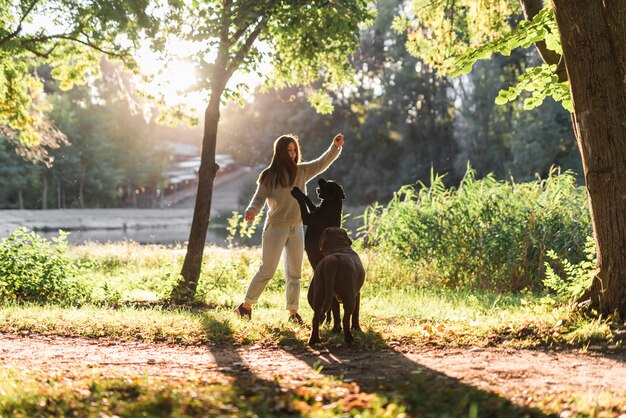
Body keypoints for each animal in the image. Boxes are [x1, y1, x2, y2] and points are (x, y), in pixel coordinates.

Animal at [290, 176, 344, 330]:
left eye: (329, 184)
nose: (320, 178)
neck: (330, 205)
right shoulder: (314, 210)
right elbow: (308, 200)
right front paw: (299, 190)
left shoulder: (308, 218)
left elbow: (303, 203)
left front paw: (296, 194)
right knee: (330, 308)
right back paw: (327, 322)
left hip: (312, 295)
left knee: (324, 310)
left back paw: (322, 322)